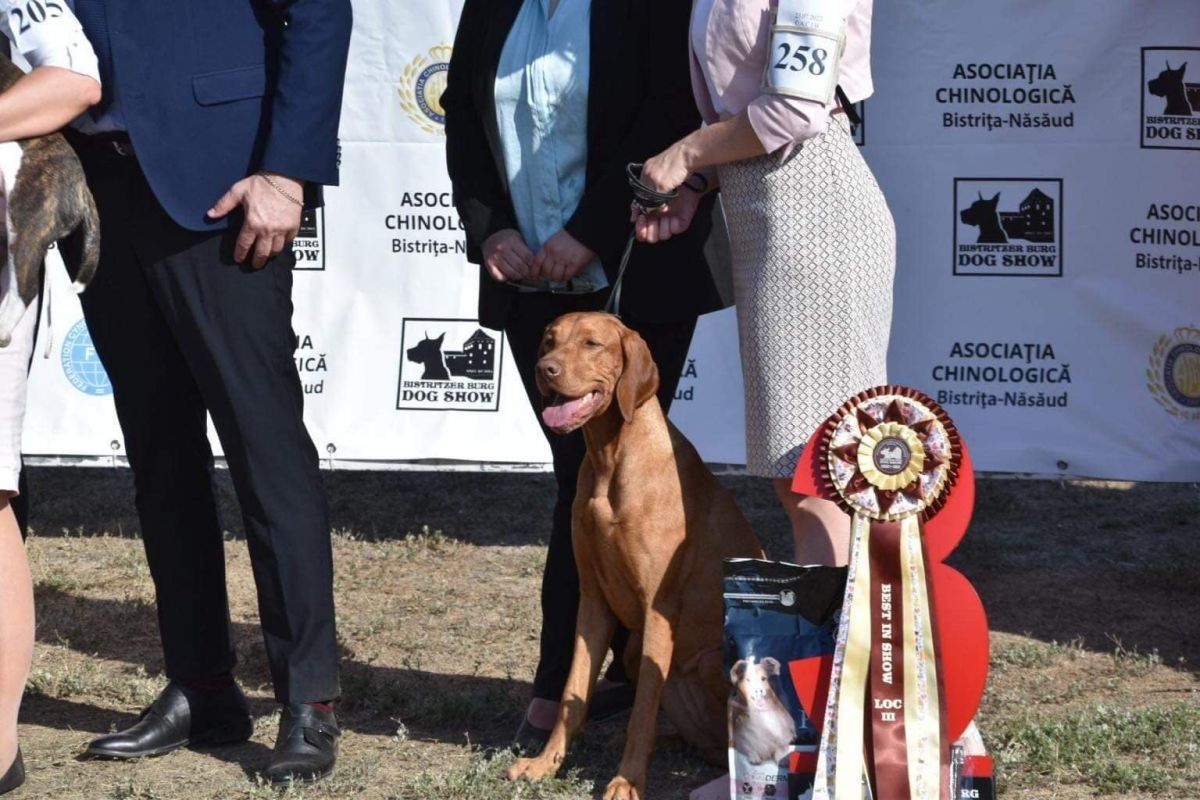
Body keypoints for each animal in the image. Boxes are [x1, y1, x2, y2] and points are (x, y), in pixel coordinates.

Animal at [506, 312, 767, 800]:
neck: (611, 457)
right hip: (631, 652)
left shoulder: (657, 611)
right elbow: (573, 692)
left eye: (592, 344)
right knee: (703, 743)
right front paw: (545, 763)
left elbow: (642, 710)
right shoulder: (592, 602)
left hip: (710, 658)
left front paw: (626, 782)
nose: (544, 370)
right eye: (549, 341)